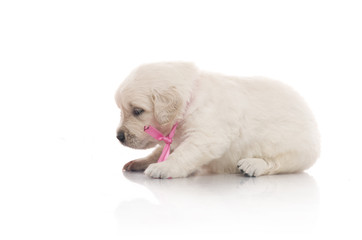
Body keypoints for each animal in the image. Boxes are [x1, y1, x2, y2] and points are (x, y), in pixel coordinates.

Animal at [115, 62, 320, 178]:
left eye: (137, 111)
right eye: (122, 110)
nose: (119, 137)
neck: (190, 99)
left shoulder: (206, 137)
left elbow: (183, 154)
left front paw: (163, 167)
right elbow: (159, 152)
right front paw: (141, 162)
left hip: (294, 153)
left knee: (276, 164)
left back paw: (252, 165)